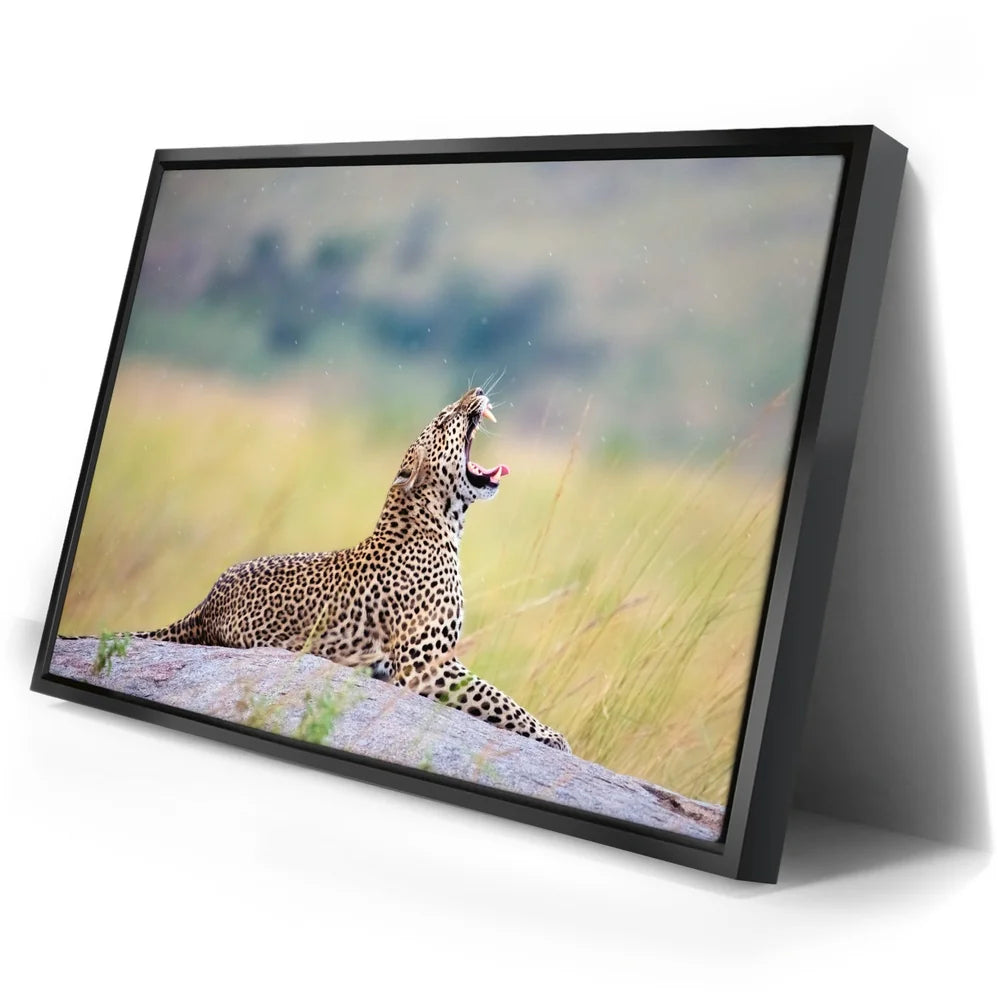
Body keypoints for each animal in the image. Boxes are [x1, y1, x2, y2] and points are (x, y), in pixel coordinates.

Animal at [108, 386, 570, 752]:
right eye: (444, 420)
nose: (476, 391)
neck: (444, 524)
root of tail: (207, 600)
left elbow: (497, 697)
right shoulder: (425, 666)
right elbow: (498, 699)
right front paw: (554, 738)